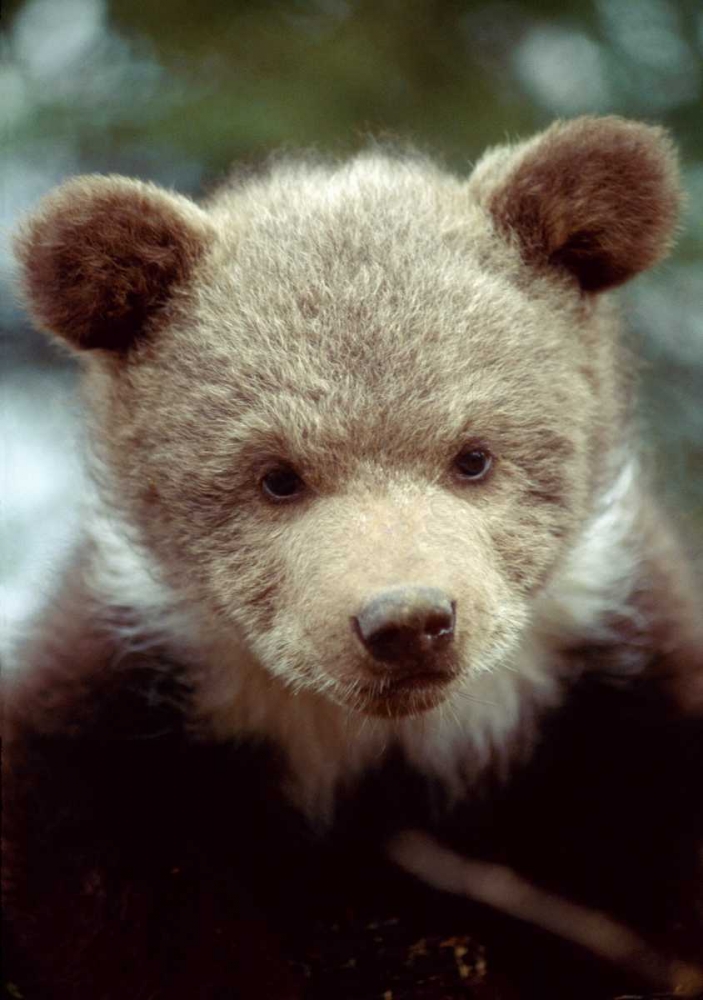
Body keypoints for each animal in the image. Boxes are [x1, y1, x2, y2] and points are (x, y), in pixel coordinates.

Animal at [3, 116, 703, 1000]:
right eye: (276, 474)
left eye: (474, 455)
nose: (407, 620)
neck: (375, 746)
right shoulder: (130, 698)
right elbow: (123, 894)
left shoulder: (608, 679)